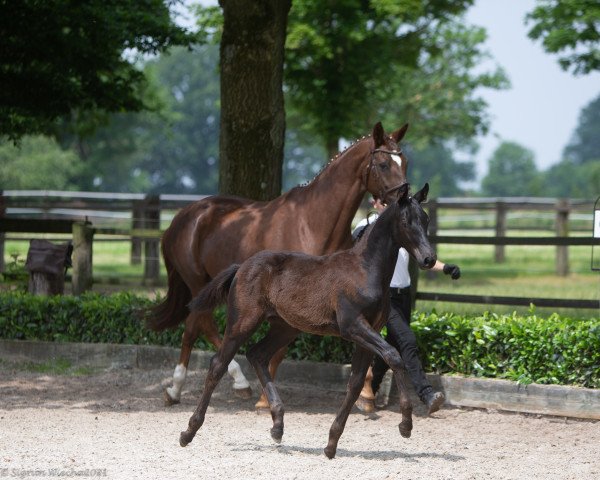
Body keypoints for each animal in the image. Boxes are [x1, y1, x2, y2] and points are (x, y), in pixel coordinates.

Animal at [146, 121, 408, 404]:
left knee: (194, 326)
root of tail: (182, 217)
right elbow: (280, 350)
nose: (405, 199)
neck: (312, 223)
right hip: (197, 283)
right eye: (383, 164)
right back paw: (220, 383)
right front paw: (264, 398)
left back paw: (181, 388)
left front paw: (367, 392)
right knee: (203, 325)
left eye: (403, 161)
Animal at [180, 183, 434, 458]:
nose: (428, 259)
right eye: (406, 221)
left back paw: (277, 425)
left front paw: (331, 444)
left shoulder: (369, 331)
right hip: (243, 322)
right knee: (218, 364)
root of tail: (241, 267)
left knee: (257, 355)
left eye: (426, 219)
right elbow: (393, 356)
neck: (365, 270)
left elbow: (356, 383)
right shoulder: (353, 325)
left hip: (285, 328)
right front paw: (406, 425)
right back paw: (188, 431)